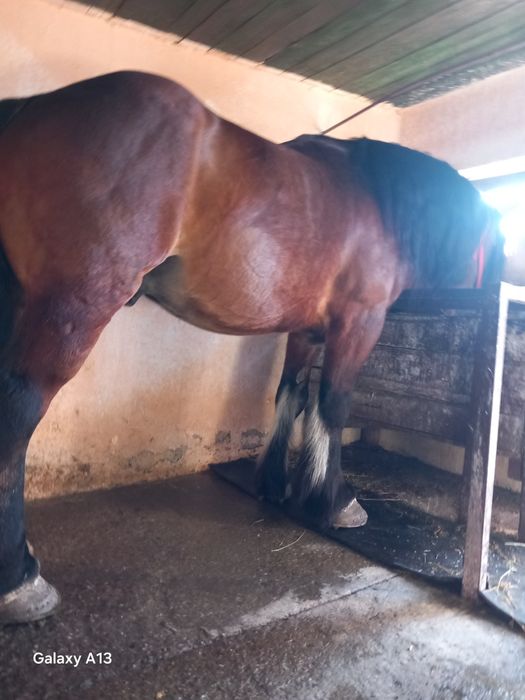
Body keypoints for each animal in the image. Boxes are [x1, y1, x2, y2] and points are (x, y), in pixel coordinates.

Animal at [0, 71, 504, 624]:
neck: (380, 204)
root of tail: (33, 107)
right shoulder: (357, 323)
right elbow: (333, 406)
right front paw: (335, 501)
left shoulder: (306, 331)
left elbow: (292, 397)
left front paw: (276, 484)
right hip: (74, 307)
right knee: (18, 415)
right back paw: (20, 581)